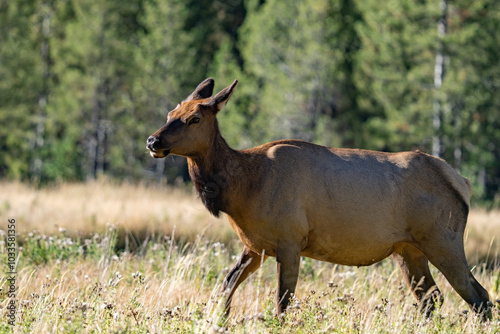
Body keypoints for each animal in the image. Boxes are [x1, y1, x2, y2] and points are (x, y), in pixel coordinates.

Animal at [146, 79, 490, 318]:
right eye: (170, 113)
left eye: (194, 119)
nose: (153, 140)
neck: (241, 191)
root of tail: (462, 182)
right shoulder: (255, 245)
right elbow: (227, 286)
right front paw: (219, 321)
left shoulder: (289, 240)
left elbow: (282, 303)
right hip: (408, 249)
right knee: (432, 298)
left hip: (442, 239)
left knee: (479, 296)